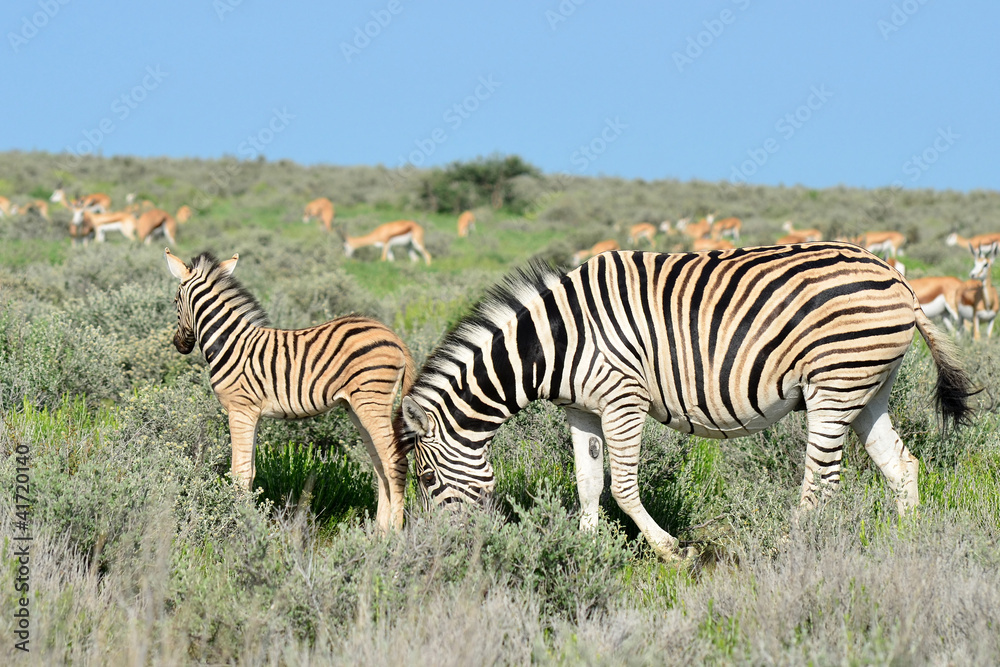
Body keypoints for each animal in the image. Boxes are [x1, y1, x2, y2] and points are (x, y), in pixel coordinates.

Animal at [165, 249, 415, 533]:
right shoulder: (252, 414)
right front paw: (247, 518)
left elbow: (239, 471)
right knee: (380, 464)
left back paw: (393, 534)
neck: (230, 342)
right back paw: (378, 532)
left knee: (395, 461)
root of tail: (394, 336)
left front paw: (237, 522)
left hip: (371, 401)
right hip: (357, 407)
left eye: (175, 300)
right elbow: (250, 471)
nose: (179, 345)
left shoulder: (239, 409)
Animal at [396, 242, 975, 559]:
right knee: (901, 465)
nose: (446, 548)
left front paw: (674, 551)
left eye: (424, 479)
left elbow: (623, 487)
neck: (553, 344)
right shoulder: (581, 409)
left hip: (834, 385)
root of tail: (894, 276)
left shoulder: (622, 398)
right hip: (867, 387)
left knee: (822, 483)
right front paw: (584, 550)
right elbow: (587, 484)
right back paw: (905, 545)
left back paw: (793, 550)